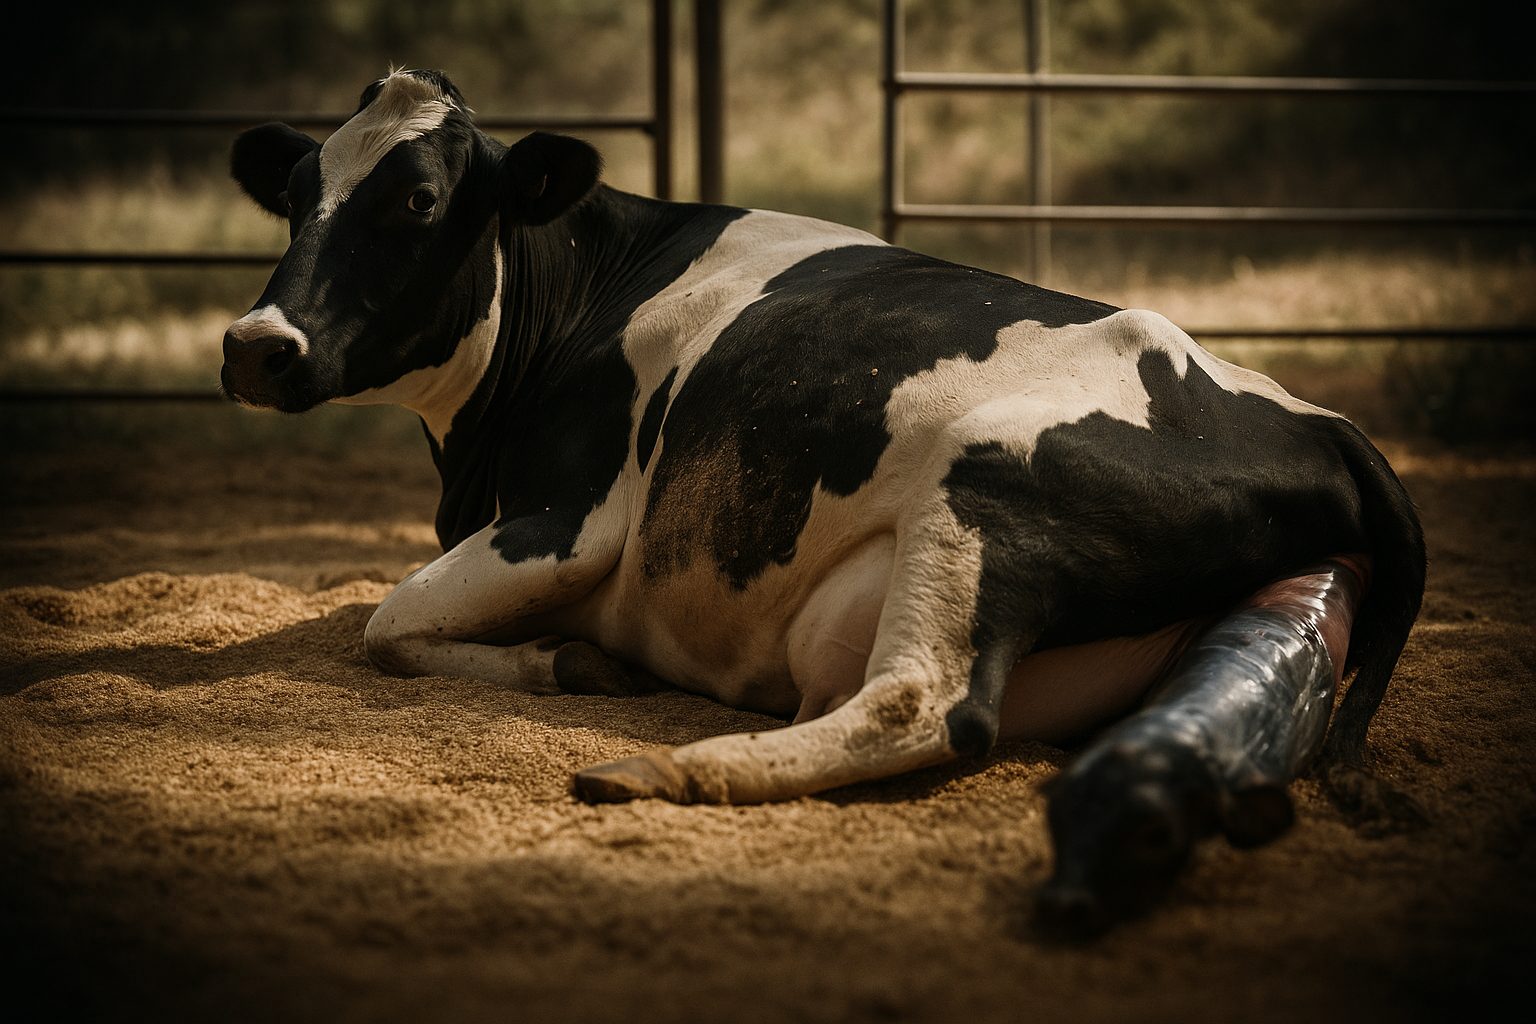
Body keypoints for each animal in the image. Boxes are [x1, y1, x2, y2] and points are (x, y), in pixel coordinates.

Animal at [223, 69, 1425, 934]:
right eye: (295, 197)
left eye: (418, 199)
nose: (254, 346)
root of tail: (1323, 422)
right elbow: (378, 617)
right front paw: (575, 660)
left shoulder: (569, 524)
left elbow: (386, 622)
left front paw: (574, 664)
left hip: (981, 495)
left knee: (924, 704)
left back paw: (672, 765)